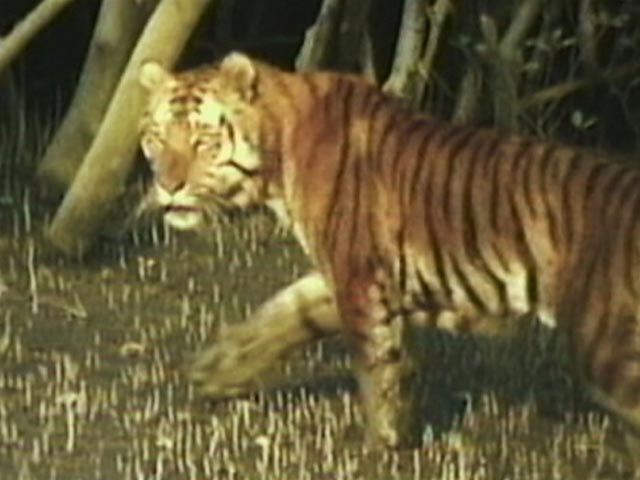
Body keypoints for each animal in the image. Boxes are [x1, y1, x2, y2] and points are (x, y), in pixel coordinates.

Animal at [138, 51, 640, 466]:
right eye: (156, 138)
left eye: (203, 140)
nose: (166, 185)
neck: (276, 152)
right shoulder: (352, 274)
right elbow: (289, 309)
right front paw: (217, 368)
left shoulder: (359, 277)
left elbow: (376, 369)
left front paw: (383, 448)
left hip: (609, 352)